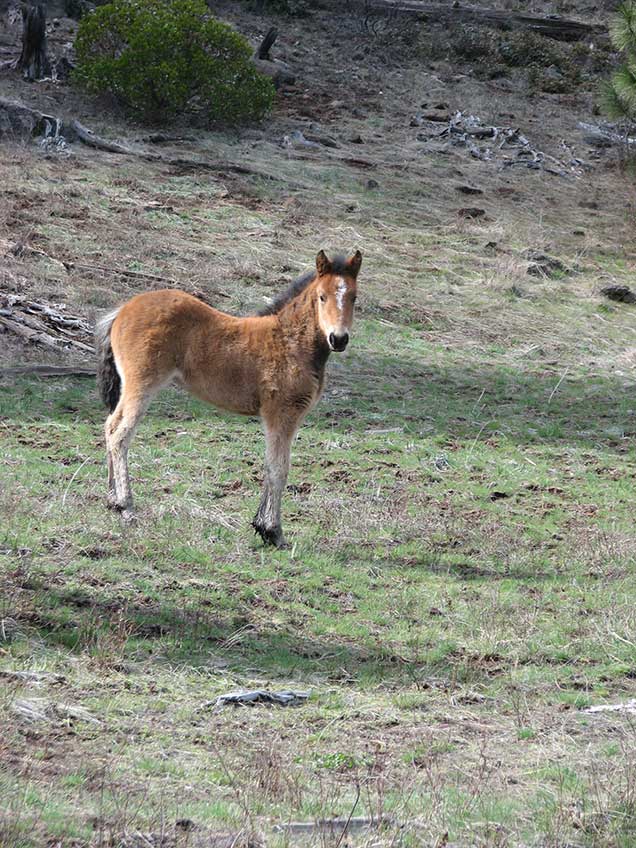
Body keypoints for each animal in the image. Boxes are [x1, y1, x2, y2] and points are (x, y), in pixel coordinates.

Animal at [95, 249, 362, 548]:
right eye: (322, 297)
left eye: (354, 297)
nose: (338, 339)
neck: (290, 341)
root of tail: (122, 310)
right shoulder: (280, 414)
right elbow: (279, 469)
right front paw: (273, 532)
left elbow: (269, 465)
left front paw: (261, 526)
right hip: (141, 385)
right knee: (120, 435)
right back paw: (126, 506)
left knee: (110, 426)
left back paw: (112, 500)